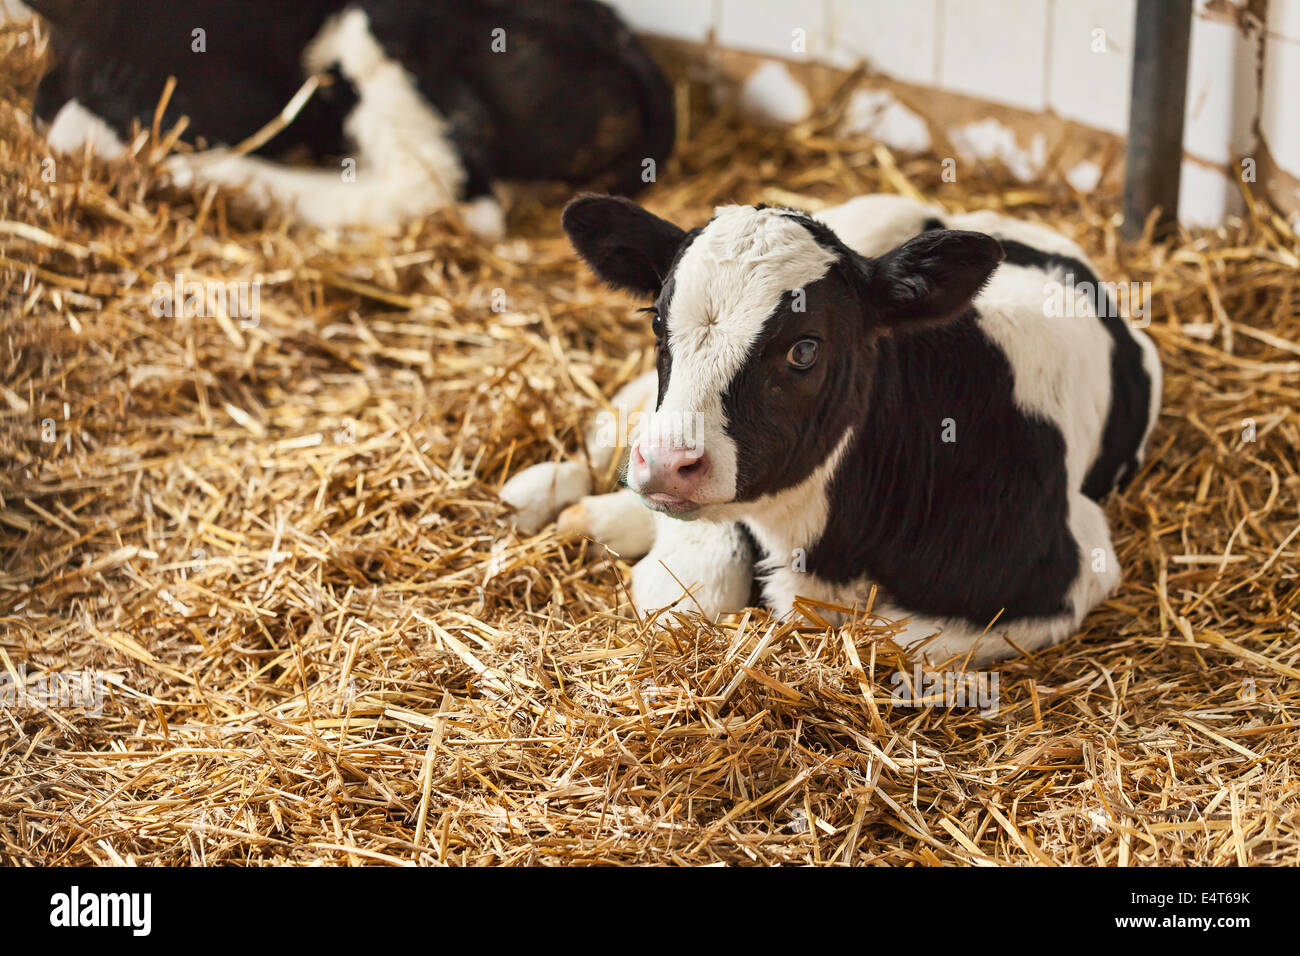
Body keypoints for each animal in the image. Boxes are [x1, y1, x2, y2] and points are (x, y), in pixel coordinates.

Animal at [503, 193, 1162, 665]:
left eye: (805, 349)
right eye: (657, 323)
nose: (666, 463)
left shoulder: (1077, 563)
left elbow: (889, 637)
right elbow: (696, 585)